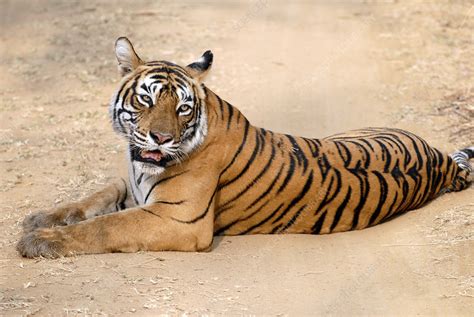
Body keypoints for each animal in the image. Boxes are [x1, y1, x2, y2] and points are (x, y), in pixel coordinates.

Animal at [16, 37, 472, 258]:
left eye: (183, 108)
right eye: (147, 99)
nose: (161, 138)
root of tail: (441, 162)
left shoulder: (178, 218)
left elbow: (104, 226)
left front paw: (39, 241)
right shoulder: (133, 186)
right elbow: (95, 197)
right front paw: (39, 218)